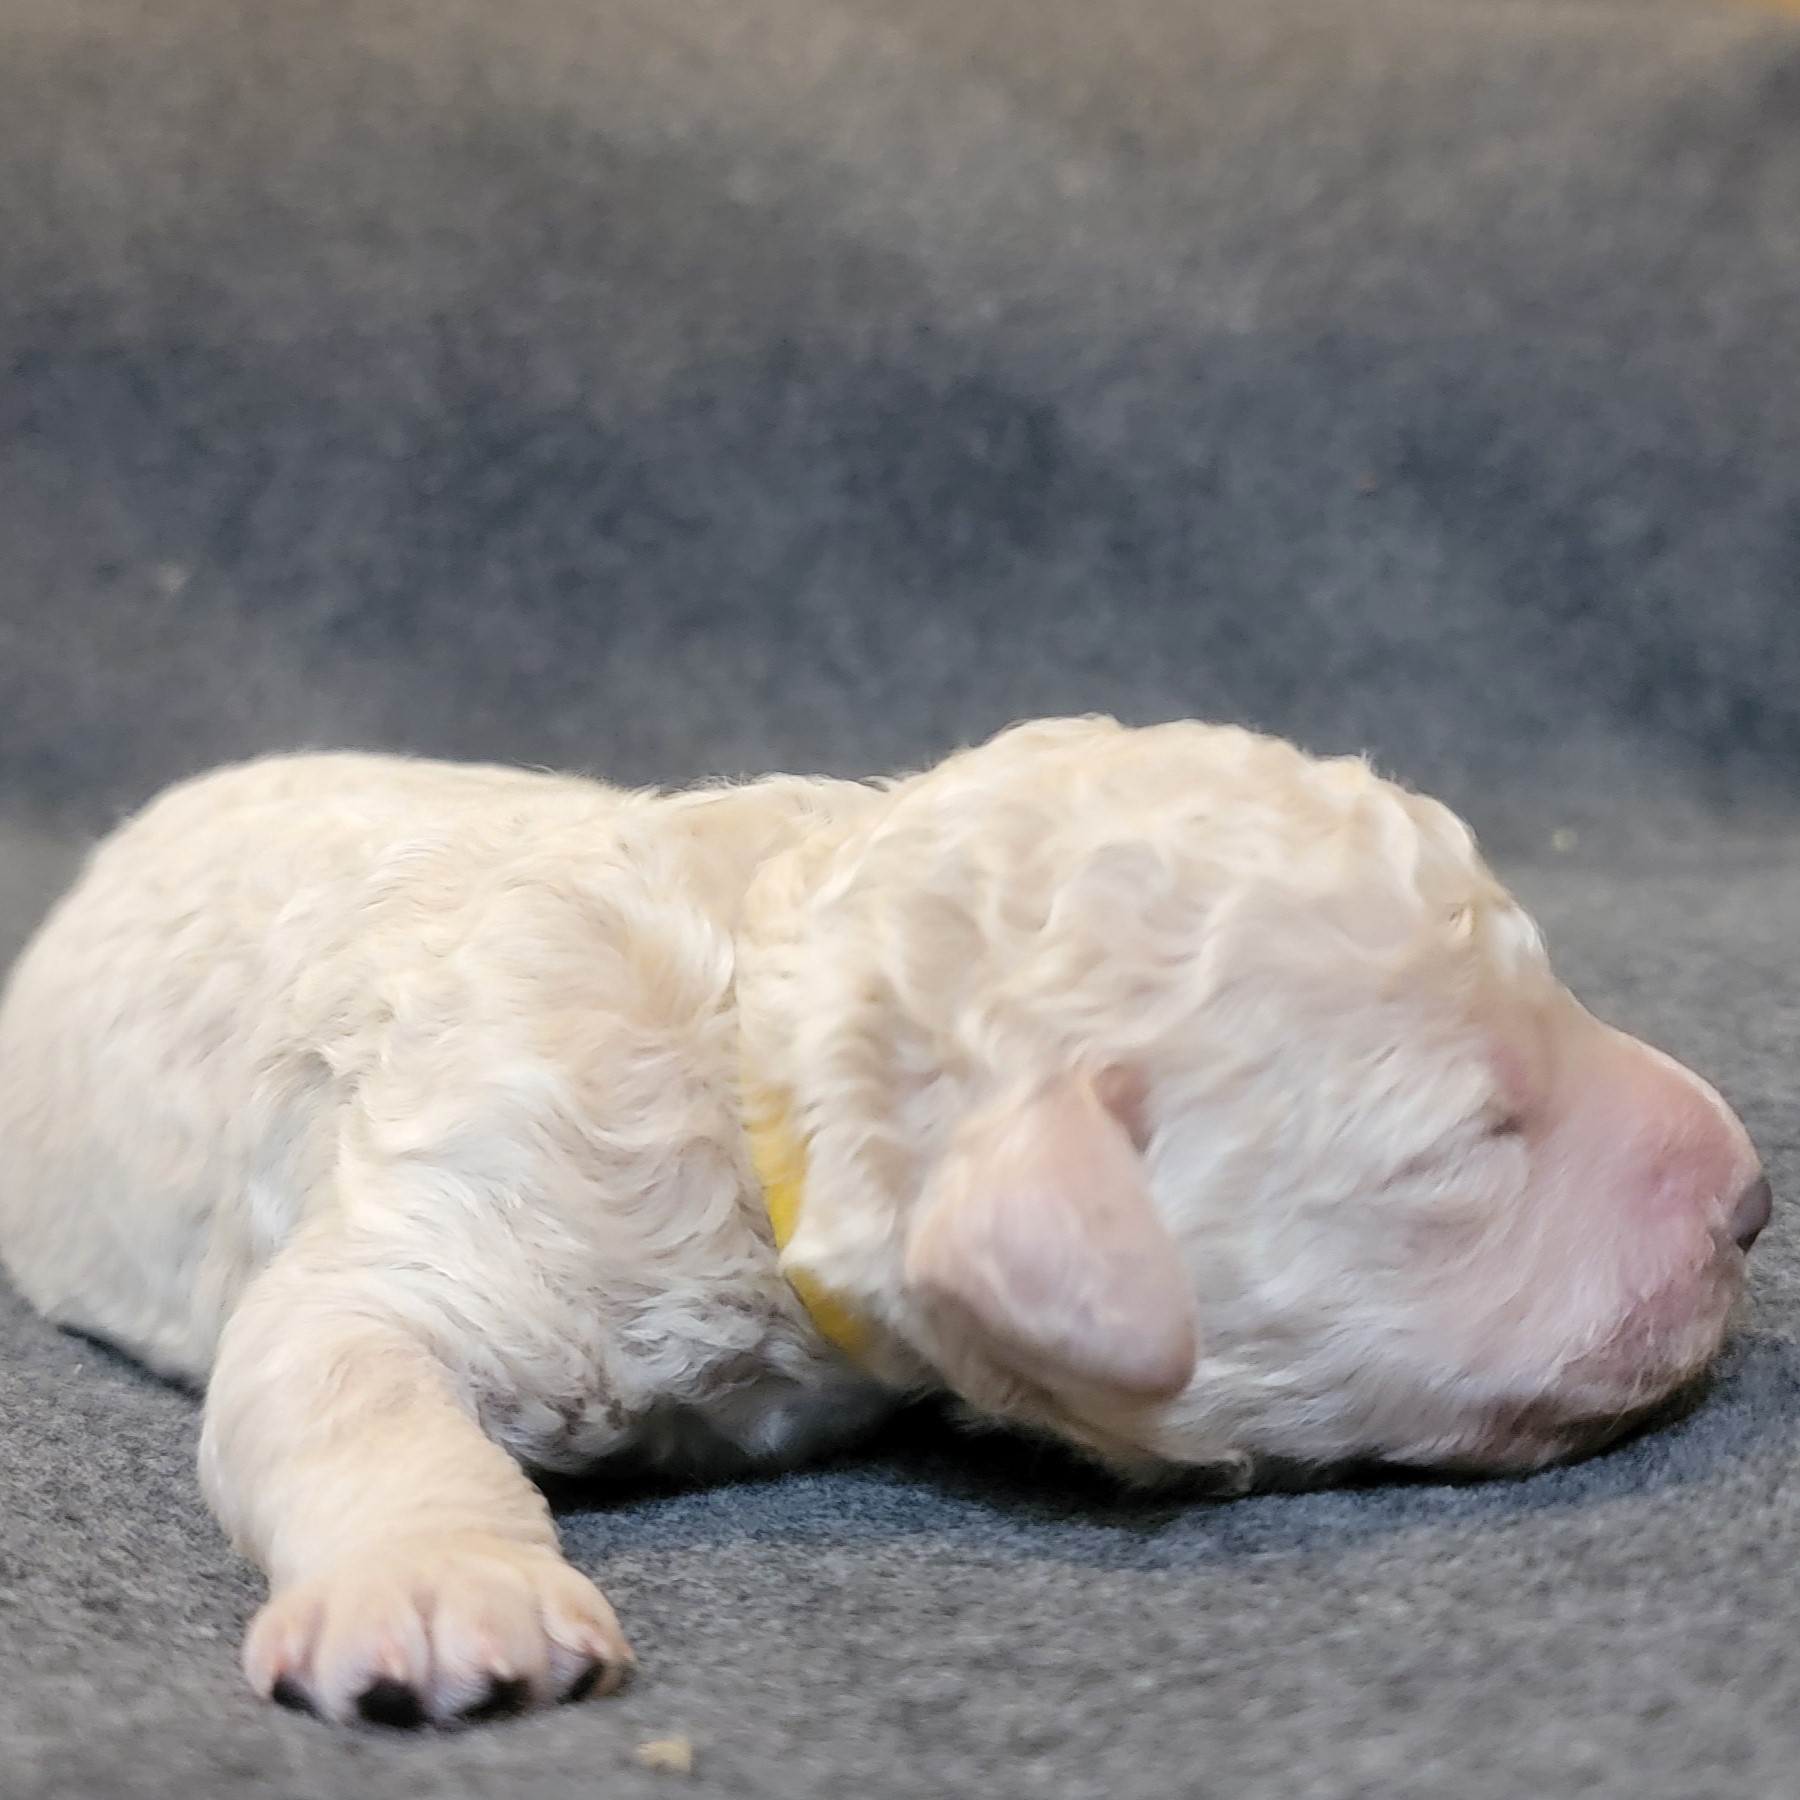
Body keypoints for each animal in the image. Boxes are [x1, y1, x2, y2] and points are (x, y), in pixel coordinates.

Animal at [0, 717, 1769, 1726]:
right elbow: (335, 1366)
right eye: (1472, 1140)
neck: (756, 1040)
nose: (1754, 1199)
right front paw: (443, 1596)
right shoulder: (469, 1187)